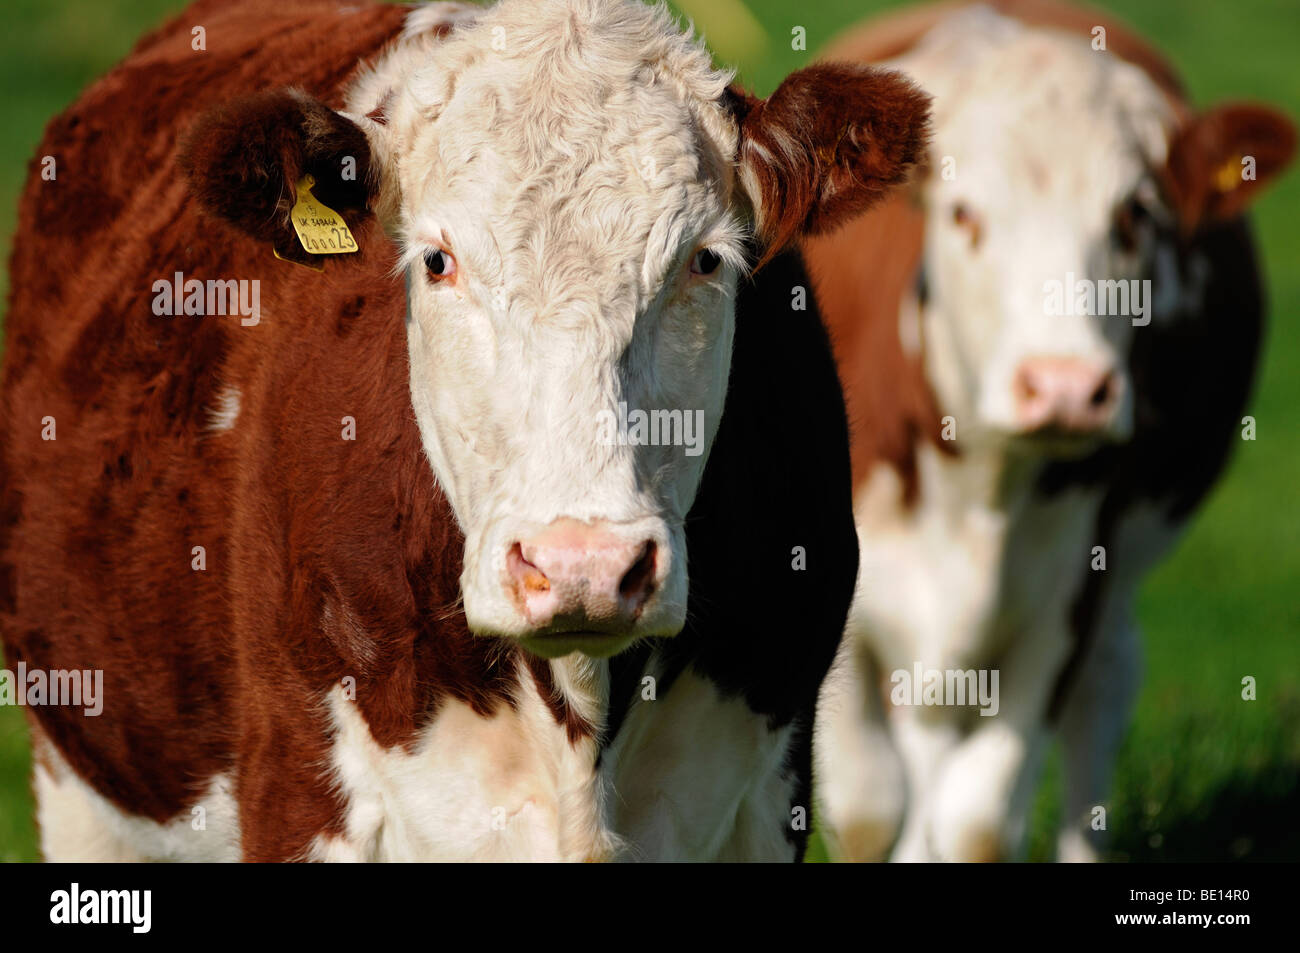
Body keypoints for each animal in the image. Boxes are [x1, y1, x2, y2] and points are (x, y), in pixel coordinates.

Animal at [805, 0, 1295, 862]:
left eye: (1134, 215)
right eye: (964, 214)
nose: (1066, 387)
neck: (978, 483)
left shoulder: (1071, 587)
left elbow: (977, 819)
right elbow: (869, 805)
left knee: (1101, 694)